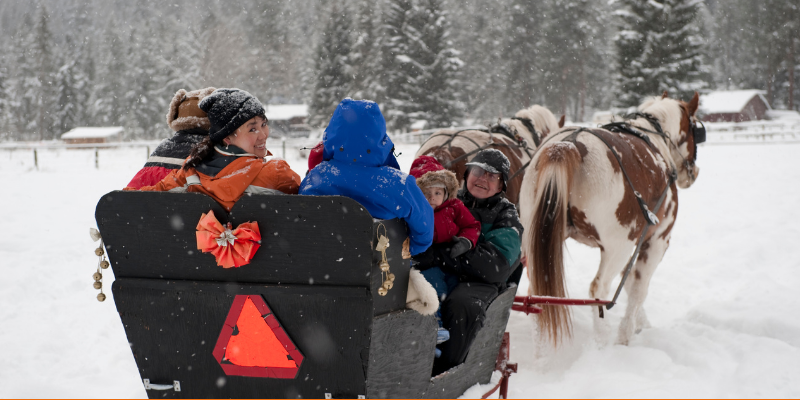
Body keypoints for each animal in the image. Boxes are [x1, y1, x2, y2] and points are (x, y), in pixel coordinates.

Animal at [520, 92, 700, 346]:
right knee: (599, 290)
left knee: (536, 290)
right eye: (695, 129)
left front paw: (641, 323)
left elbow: (629, 283)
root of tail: (568, 145)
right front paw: (626, 334)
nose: (693, 173)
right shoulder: (656, 240)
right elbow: (637, 289)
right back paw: (602, 340)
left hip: (534, 239)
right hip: (618, 247)